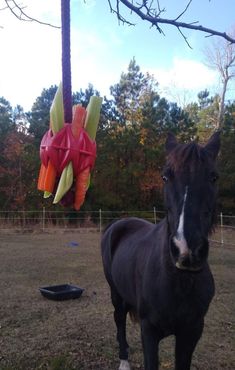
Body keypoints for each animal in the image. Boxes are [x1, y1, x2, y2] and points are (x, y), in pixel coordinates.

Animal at [101, 133, 220, 370]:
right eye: (165, 177)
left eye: (213, 177)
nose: (187, 250)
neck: (180, 281)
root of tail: (117, 223)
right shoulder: (149, 331)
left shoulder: (191, 333)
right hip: (116, 295)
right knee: (119, 323)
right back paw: (124, 361)